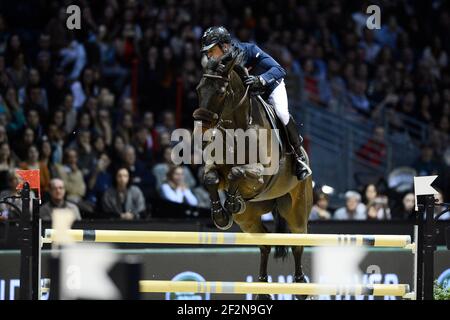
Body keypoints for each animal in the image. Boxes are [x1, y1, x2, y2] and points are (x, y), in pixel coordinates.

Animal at [192, 53, 312, 300]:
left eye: (220, 91)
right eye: (198, 89)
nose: (202, 130)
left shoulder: (260, 175)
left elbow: (238, 172)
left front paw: (231, 202)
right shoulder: (215, 168)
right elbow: (211, 178)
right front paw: (221, 214)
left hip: (297, 211)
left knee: (297, 242)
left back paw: (300, 285)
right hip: (248, 219)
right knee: (265, 243)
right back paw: (262, 290)